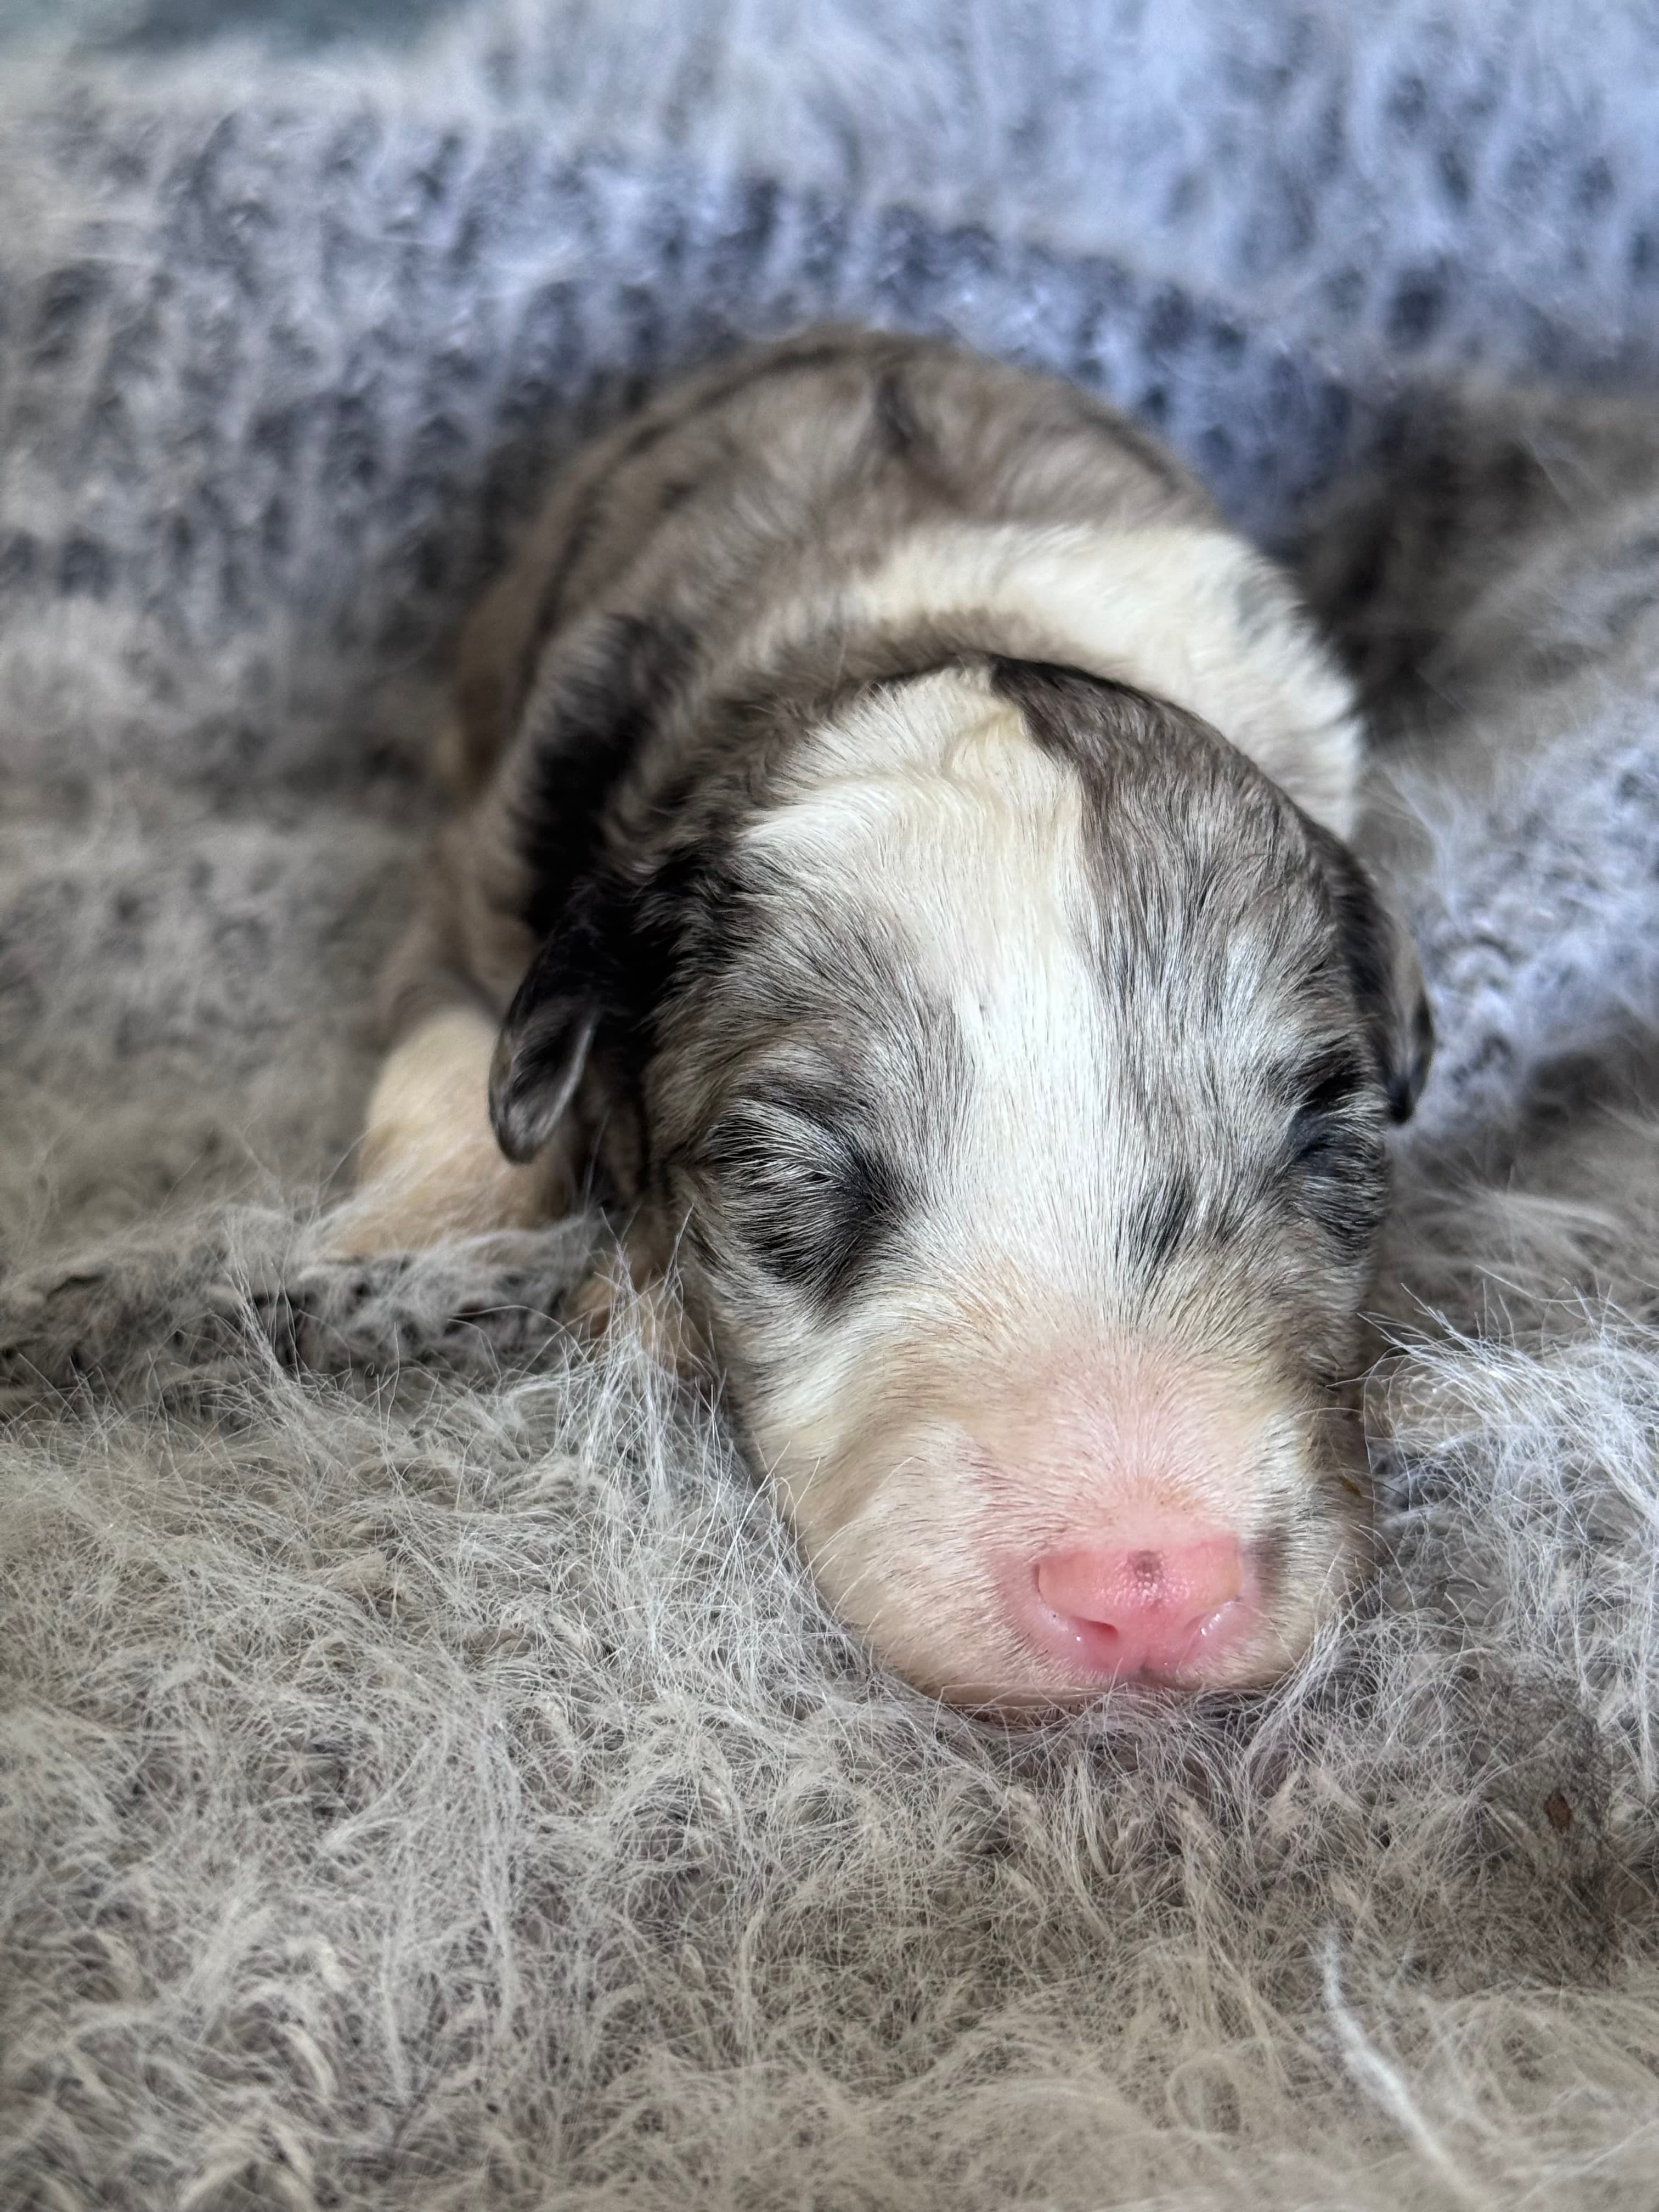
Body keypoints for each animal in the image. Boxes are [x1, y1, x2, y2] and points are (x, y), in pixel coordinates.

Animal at [345, 323, 1433, 1707]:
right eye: (789, 1173)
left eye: (1322, 1142)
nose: (1146, 1583)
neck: (943, 620)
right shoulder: (489, 872)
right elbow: (457, 1064)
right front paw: (404, 1246)